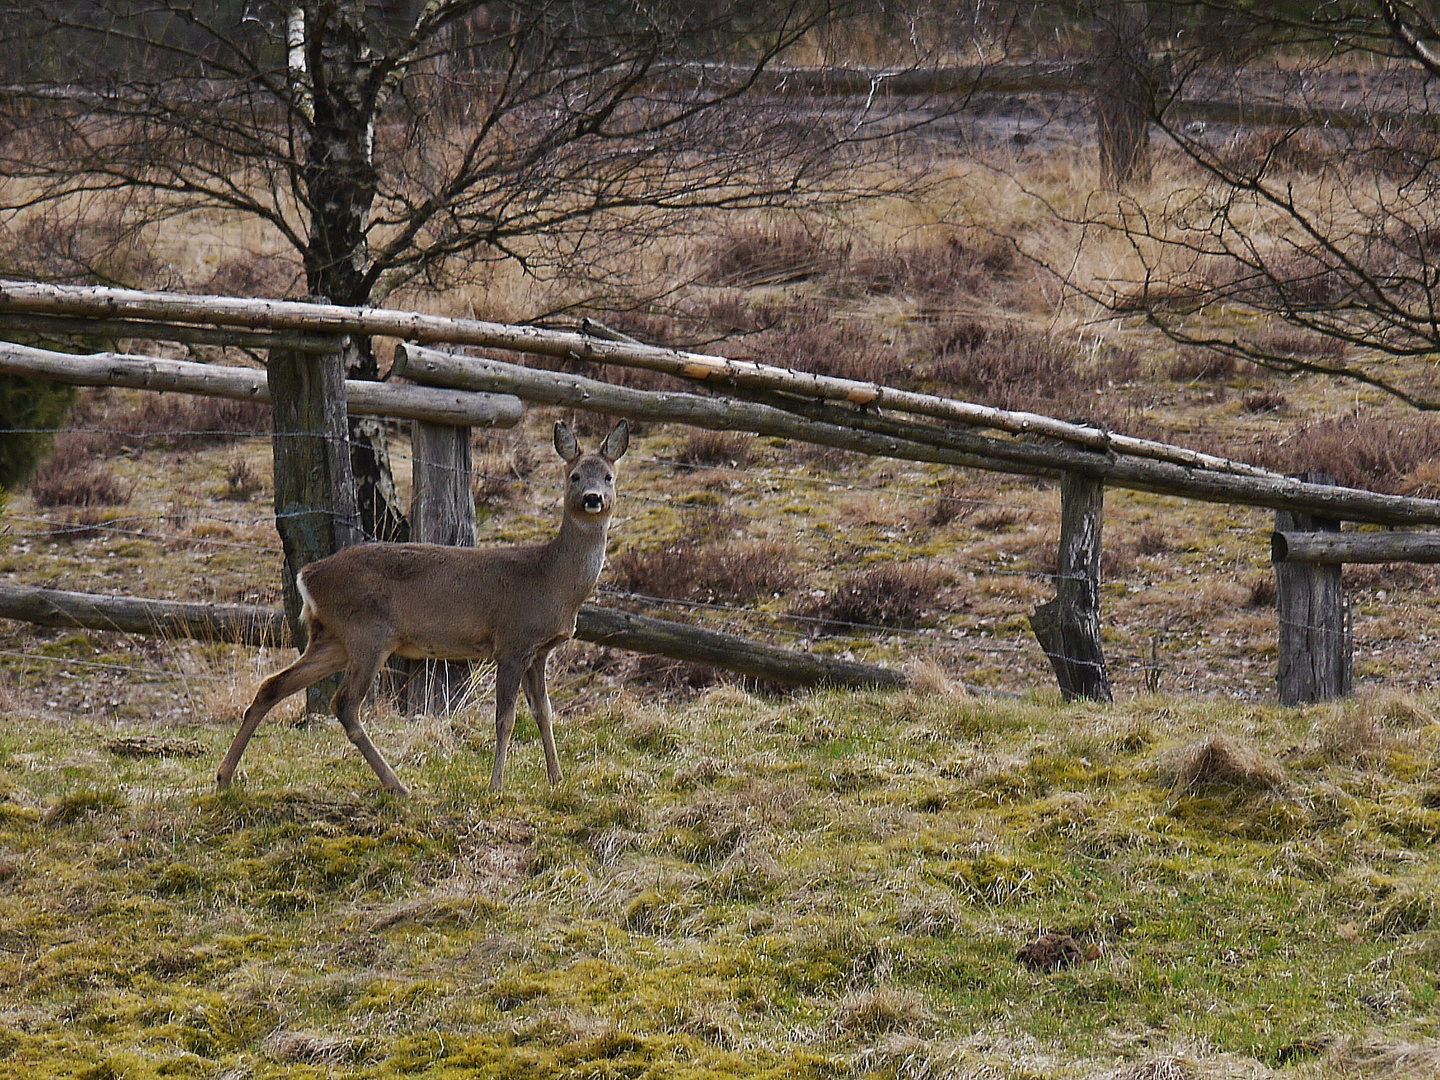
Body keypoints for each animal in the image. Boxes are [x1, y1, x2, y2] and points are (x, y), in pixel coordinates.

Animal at [217, 420, 630, 794]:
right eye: (574, 476)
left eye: (609, 476)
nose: (593, 498)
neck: (551, 579)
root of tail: (307, 575)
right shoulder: (512, 642)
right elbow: (505, 719)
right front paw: (496, 785)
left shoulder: (539, 651)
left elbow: (544, 713)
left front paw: (557, 779)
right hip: (368, 633)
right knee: (344, 704)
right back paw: (397, 785)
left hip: (333, 638)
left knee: (273, 685)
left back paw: (224, 777)